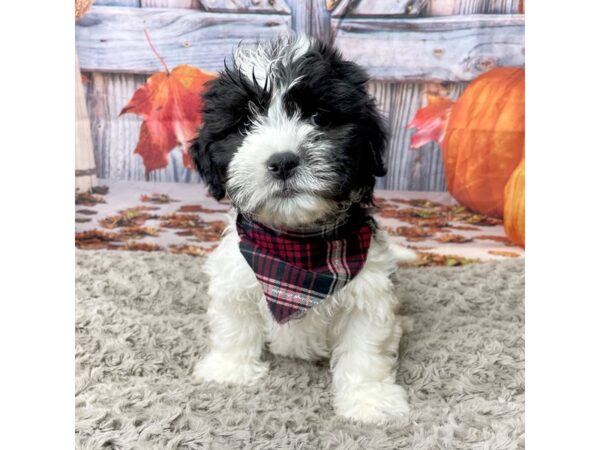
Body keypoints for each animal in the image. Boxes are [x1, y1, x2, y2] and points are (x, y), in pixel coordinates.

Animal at [190, 34, 414, 422]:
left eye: (318, 117)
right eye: (244, 126)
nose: (282, 161)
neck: (297, 246)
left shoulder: (369, 294)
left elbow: (365, 350)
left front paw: (368, 400)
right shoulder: (235, 277)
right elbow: (234, 325)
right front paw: (229, 370)